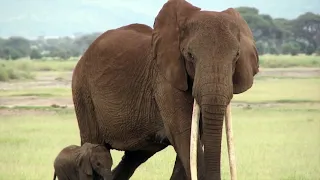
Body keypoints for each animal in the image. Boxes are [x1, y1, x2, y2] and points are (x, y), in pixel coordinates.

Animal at [71, 0, 258, 179]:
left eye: (236, 57)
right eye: (190, 55)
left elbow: (194, 140)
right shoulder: (165, 82)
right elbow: (185, 136)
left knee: (133, 157)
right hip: (82, 92)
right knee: (94, 144)